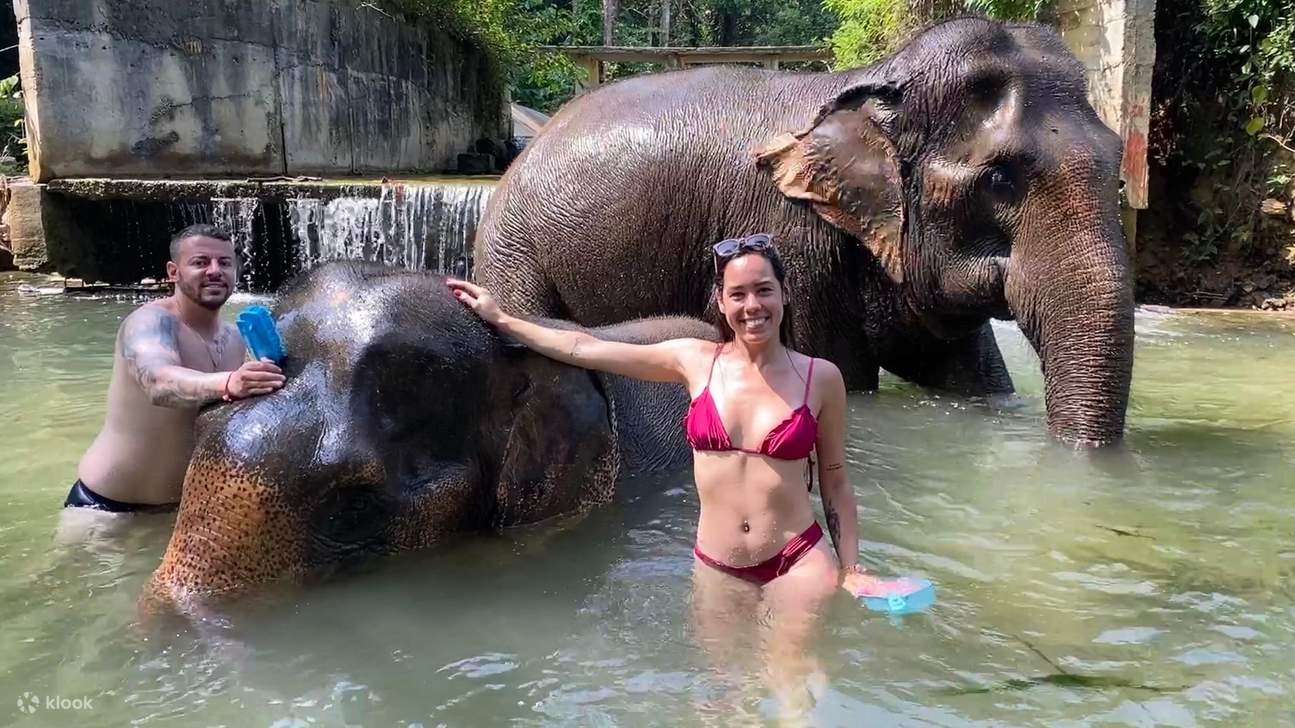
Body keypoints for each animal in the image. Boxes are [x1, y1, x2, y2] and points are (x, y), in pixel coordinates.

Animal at [474, 18, 1134, 446]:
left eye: (1118, 160)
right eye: (999, 178)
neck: (877, 81)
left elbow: (973, 376)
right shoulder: (794, 235)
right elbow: (843, 372)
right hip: (516, 253)